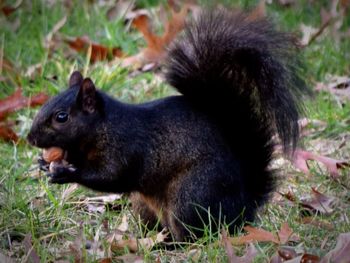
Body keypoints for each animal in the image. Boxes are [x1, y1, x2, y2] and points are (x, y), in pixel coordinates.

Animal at [26, 8, 306, 242]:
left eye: (61, 117)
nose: (30, 139)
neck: (101, 129)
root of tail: (243, 208)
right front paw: (45, 163)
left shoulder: (126, 147)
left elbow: (112, 176)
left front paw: (66, 173)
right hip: (144, 206)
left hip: (191, 197)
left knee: (195, 235)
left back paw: (171, 245)